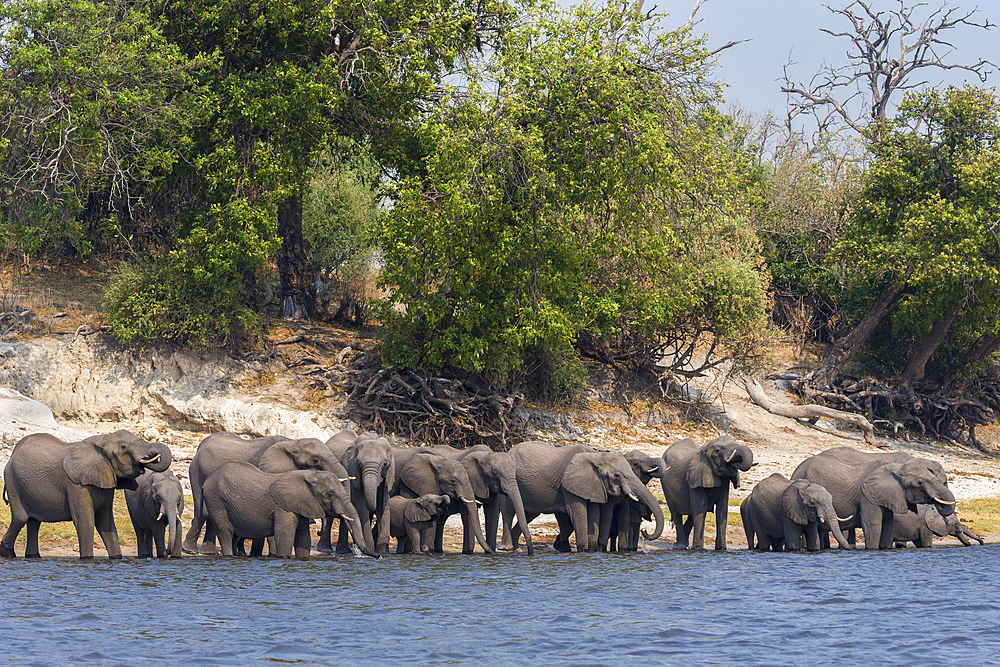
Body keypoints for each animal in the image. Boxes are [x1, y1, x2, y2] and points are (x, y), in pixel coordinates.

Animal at [0, 430, 172, 560]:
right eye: (124, 447)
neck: (102, 440)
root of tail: (12, 455)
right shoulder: (76, 484)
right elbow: (85, 521)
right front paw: (87, 559)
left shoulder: (105, 478)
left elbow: (105, 523)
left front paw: (116, 558)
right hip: (13, 481)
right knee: (21, 518)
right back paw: (7, 553)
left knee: (34, 522)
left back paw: (33, 556)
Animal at [179, 434, 336, 552]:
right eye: (315, 460)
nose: (318, 531)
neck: (293, 443)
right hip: (197, 473)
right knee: (203, 512)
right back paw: (190, 550)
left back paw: (209, 552)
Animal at [201, 462, 376, 560]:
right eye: (329, 495)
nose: (378, 556)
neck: (308, 476)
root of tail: (206, 481)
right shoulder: (283, 508)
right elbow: (285, 536)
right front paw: (284, 557)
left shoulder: (301, 505)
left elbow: (304, 539)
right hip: (216, 500)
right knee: (226, 531)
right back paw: (228, 556)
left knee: (234, 535)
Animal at [508, 444, 664, 552]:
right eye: (617, 475)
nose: (645, 531)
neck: (597, 457)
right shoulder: (570, 483)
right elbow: (579, 512)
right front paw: (585, 550)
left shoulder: (595, 486)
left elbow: (597, 514)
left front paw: (596, 550)